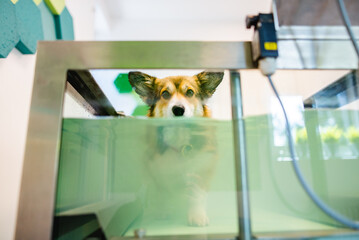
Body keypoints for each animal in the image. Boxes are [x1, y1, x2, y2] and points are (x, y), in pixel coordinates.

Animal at [128, 71, 224, 227]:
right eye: (165, 94)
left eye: (190, 92)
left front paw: (197, 216)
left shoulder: (204, 168)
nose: (178, 109)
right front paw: (163, 211)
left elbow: (198, 194)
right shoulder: (155, 169)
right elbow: (162, 192)